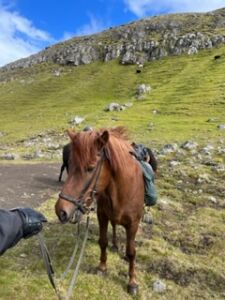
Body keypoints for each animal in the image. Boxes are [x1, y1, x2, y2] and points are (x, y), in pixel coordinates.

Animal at [55, 127, 145, 296]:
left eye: (90, 168)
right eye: (69, 164)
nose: (60, 211)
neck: (122, 190)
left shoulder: (133, 224)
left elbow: (131, 252)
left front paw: (132, 281)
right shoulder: (102, 216)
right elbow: (103, 241)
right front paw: (102, 267)